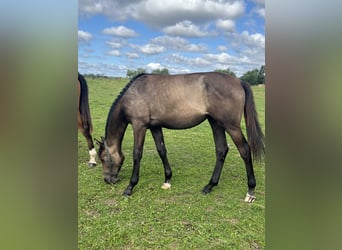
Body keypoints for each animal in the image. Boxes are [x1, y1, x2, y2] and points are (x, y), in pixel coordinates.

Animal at [97, 72, 266, 201]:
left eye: (104, 158)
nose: (107, 180)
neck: (134, 93)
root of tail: (239, 81)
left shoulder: (139, 126)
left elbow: (137, 154)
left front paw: (130, 187)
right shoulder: (155, 126)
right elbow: (161, 150)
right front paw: (167, 180)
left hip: (231, 126)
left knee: (244, 150)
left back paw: (250, 190)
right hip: (216, 123)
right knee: (221, 150)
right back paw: (210, 185)